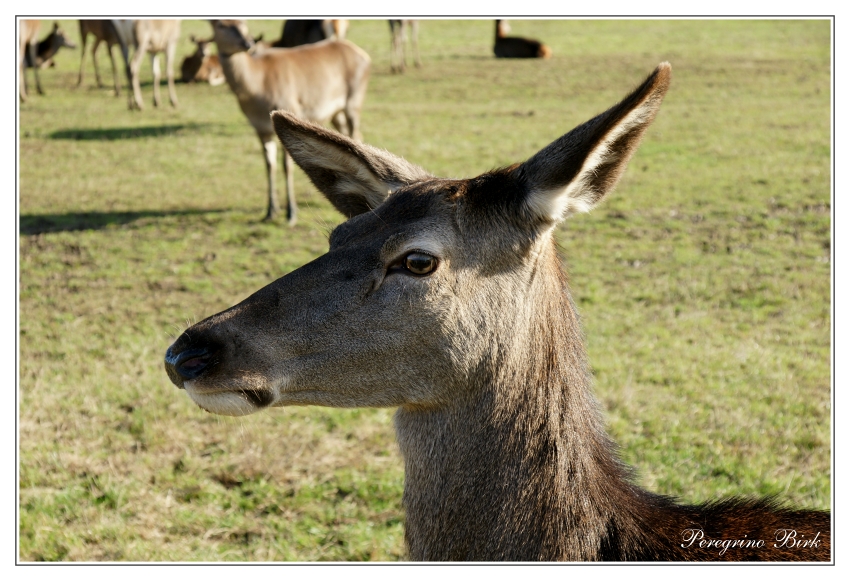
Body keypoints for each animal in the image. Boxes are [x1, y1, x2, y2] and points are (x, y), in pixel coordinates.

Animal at [208, 18, 368, 224]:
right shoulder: (260, 128)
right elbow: (269, 166)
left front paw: (291, 213)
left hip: (354, 99)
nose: (247, 43)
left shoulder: (289, 107)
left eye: (242, 22)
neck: (257, 90)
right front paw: (270, 211)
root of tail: (362, 53)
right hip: (336, 112)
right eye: (219, 24)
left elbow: (287, 166)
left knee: (356, 133)